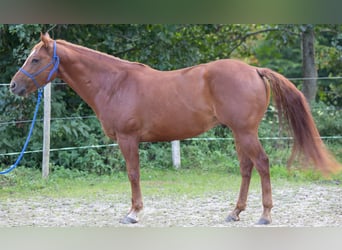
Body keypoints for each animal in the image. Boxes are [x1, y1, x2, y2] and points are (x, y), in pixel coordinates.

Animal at [9, 32, 340, 225]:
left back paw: (265, 215)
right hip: (238, 133)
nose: (13, 86)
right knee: (246, 168)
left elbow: (133, 174)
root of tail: (254, 70)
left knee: (261, 164)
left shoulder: (128, 139)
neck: (115, 83)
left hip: (245, 132)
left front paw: (133, 213)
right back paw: (234, 213)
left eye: (35, 59)